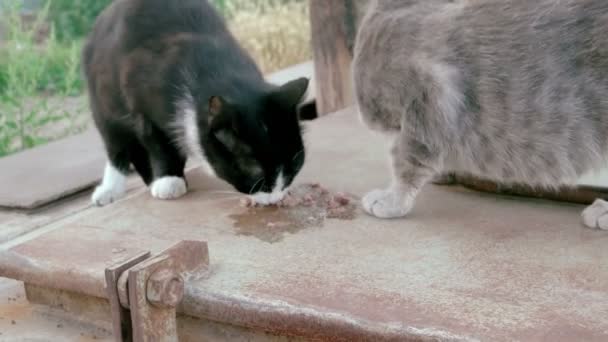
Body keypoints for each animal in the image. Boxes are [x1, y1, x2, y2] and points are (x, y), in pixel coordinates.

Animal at [82, 0, 316, 206]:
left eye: (295, 164)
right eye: (255, 172)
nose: (275, 197)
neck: (218, 70)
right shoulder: (139, 100)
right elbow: (155, 139)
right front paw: (168, 179)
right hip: (103, 101)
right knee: (116, 143)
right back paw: (112, 187)